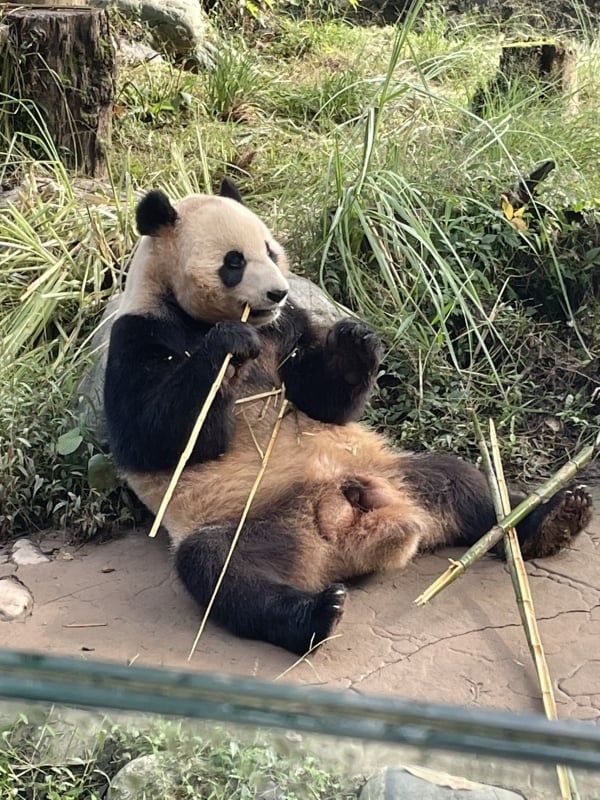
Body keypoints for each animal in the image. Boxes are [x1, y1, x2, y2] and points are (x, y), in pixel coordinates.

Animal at [104, 178, 593, 655]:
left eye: (270, 250)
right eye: (234, 261)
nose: (278, 292)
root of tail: (344, 535)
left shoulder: (286, 328)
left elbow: (321, 400)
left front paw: (354, 343)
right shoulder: (140, 334)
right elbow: (154, 438)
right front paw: (229, 344)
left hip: (396, 474)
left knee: (462, 483)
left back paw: (556, 519)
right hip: (252, 523)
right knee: (220, 567)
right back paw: (315, 614)